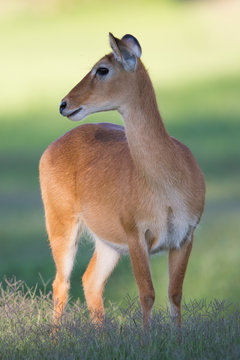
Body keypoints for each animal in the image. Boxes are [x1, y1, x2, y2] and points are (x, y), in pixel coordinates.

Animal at [39, 33, 204, 330]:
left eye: (102, 69)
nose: (64, 104)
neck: (167, 186)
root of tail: (53, 146)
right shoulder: (136, 236)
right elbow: (147, 295)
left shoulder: (184, 237)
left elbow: (174, 296)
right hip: (61, 225)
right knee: (61, 283)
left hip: (108, 244)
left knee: (90, 281)